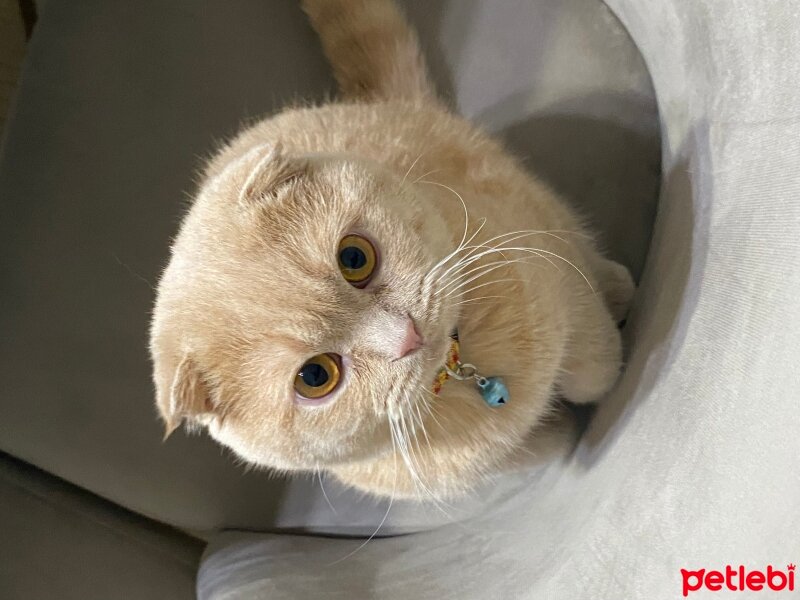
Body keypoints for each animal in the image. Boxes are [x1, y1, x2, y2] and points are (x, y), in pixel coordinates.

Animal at [150, 0, 636, 500]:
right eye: (315, 376)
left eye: (354, 258)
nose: (407, 336)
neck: (461, 369)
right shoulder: (481, 466)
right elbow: (540, 449)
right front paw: (563, 433)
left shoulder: (548, 268)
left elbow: (592, 365)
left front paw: (606, 377)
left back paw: (618, 286)